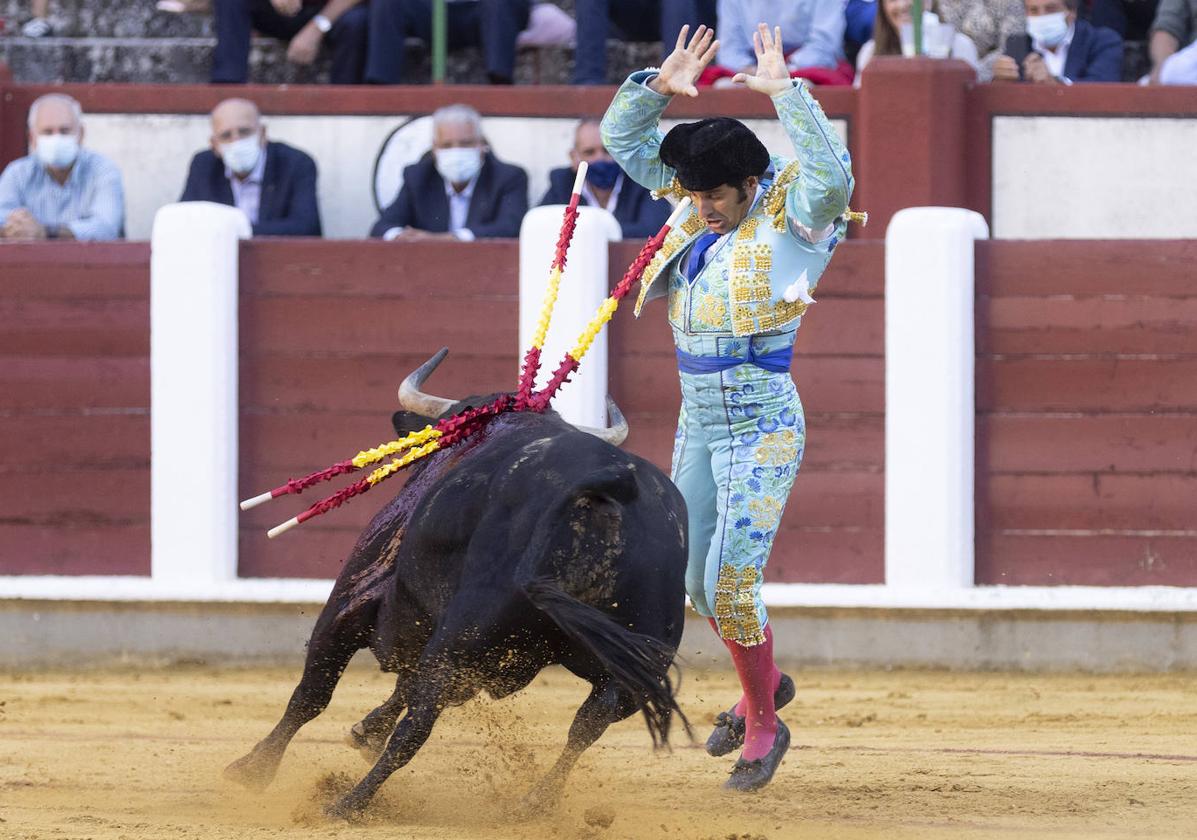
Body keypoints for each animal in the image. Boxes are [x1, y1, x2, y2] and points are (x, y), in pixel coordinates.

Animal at [227, 349, 689, 823]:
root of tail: (609, 489)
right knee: (589, 723)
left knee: (416, 726)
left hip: (465, 633)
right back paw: (533, 803)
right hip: (632, 663)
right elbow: (405, 685)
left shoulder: (355, 595)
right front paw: (365, 730)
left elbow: (312, 693)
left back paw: (347, 804)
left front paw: (252, 769)